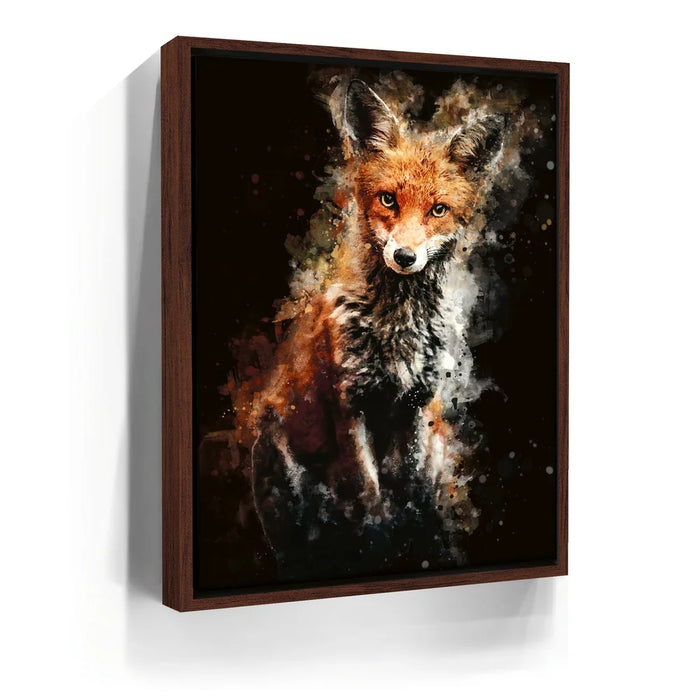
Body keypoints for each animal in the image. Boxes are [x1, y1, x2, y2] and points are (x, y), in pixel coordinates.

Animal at [250, 79, 504, 580]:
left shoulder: (417, 405)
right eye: (388, 200)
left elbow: (412, 490)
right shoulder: (350, 406)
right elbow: (370, 495)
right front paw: (381, 542)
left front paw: (418, 540)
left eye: (438, 210)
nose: (404, 256)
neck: (397, 329)